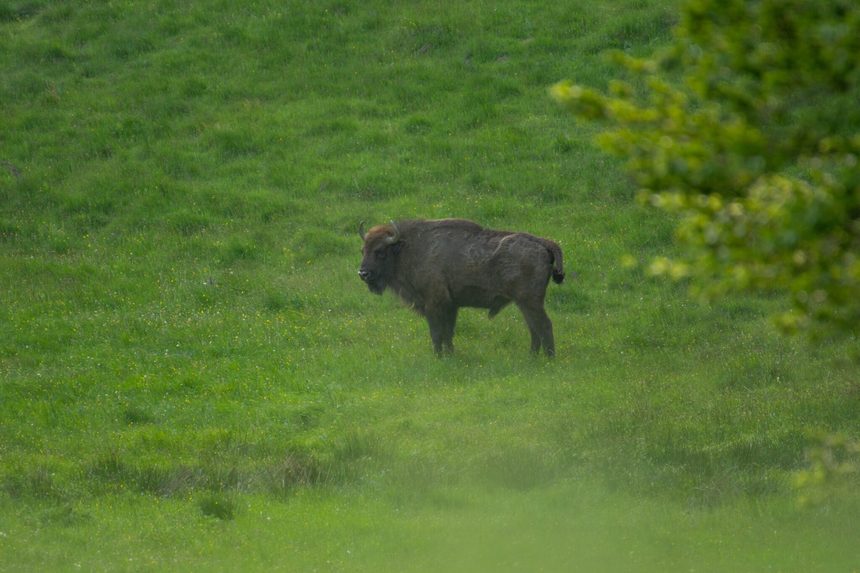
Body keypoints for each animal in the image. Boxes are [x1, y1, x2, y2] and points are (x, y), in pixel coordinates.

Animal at [356, 218, 564, 356]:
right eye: (363, 250)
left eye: (380, 251)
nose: (363, 273)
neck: (408, 248)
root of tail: (543, 242)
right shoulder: (451, 306)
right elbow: (448, 333)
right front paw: (450, 355)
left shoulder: (434, 304)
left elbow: (437, 333)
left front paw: (438, 357)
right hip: (524, 303)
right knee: (534, 328)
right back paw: (532, 357)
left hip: (530, 302)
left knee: (544, 325)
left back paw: (548, 358)